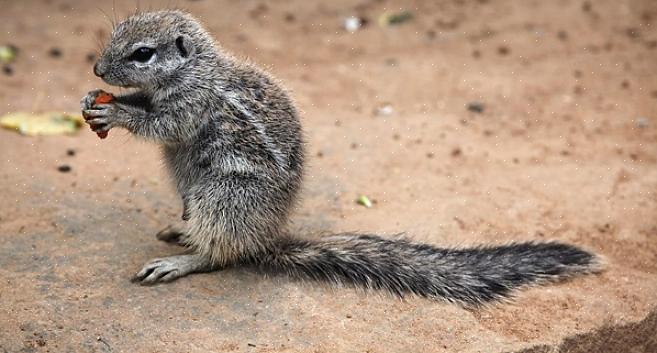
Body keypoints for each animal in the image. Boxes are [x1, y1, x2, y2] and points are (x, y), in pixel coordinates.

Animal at [80, 9, 600, 304]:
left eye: (143, 53)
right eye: (116, 35)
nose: (99, 68)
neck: (193, 70)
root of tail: (265, 239)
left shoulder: (193, 104)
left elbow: (162, 125)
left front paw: (117, 113)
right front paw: (97, 99)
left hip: (225, 195)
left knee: (221, 254)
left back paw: (184, 258)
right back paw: (181, 230)